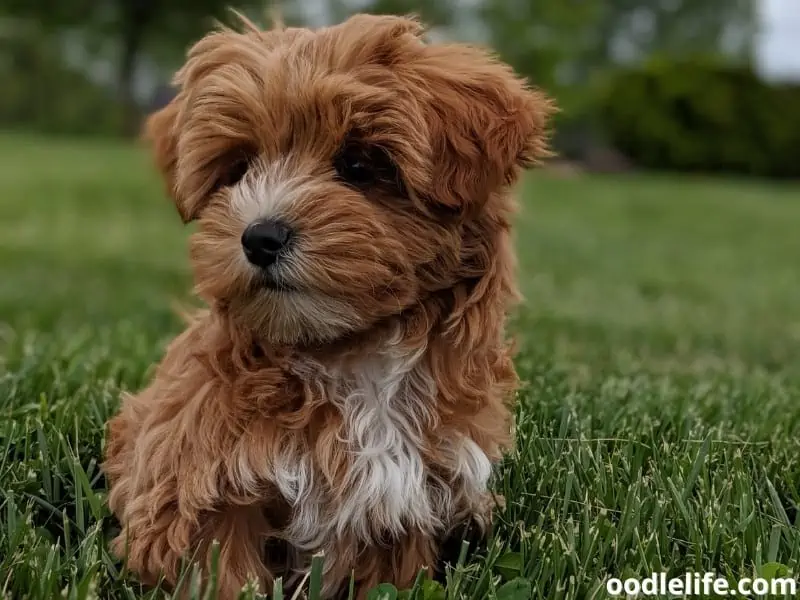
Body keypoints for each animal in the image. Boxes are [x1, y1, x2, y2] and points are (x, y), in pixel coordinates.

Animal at [101, 10, 552, 600]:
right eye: (238, 168)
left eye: (359, 165)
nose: (260, 237)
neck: (350, 354)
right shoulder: (199, 475)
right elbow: (222, 564)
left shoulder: (405, 500)